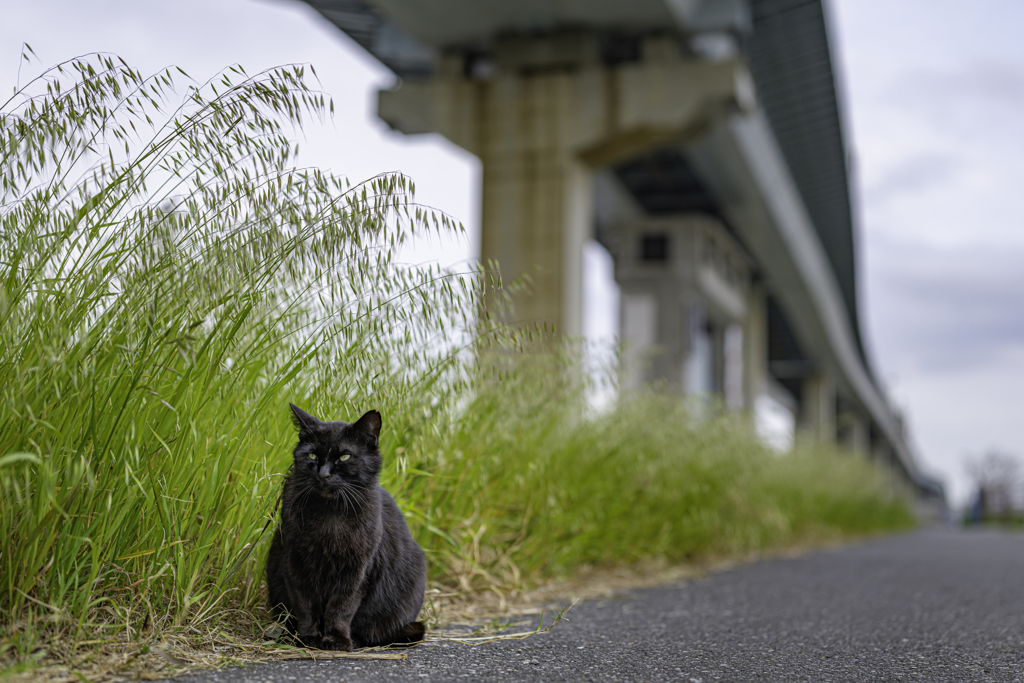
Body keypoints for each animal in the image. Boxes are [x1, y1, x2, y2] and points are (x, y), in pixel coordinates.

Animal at [266, 405, 425, 651]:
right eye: (312, 455)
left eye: (344, 456)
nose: (323, 474)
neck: (330, 515)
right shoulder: (294, 563)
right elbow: (305, 604)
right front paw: (309, 638)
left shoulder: (357, 571)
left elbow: (342, 607)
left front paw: (336, 639)